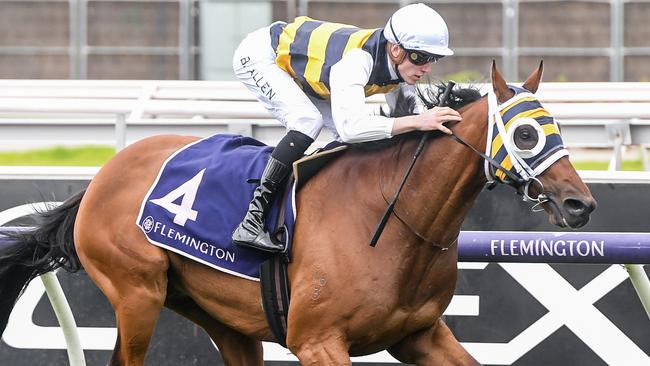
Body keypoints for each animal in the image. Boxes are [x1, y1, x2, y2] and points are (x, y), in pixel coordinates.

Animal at [2, 61, 596, 364]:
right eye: (526, 133)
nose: (580, 204)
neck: (392, 222)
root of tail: (100, 178)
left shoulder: (421, 336)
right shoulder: (318, 344)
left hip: (221, 317)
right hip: (136, 295)